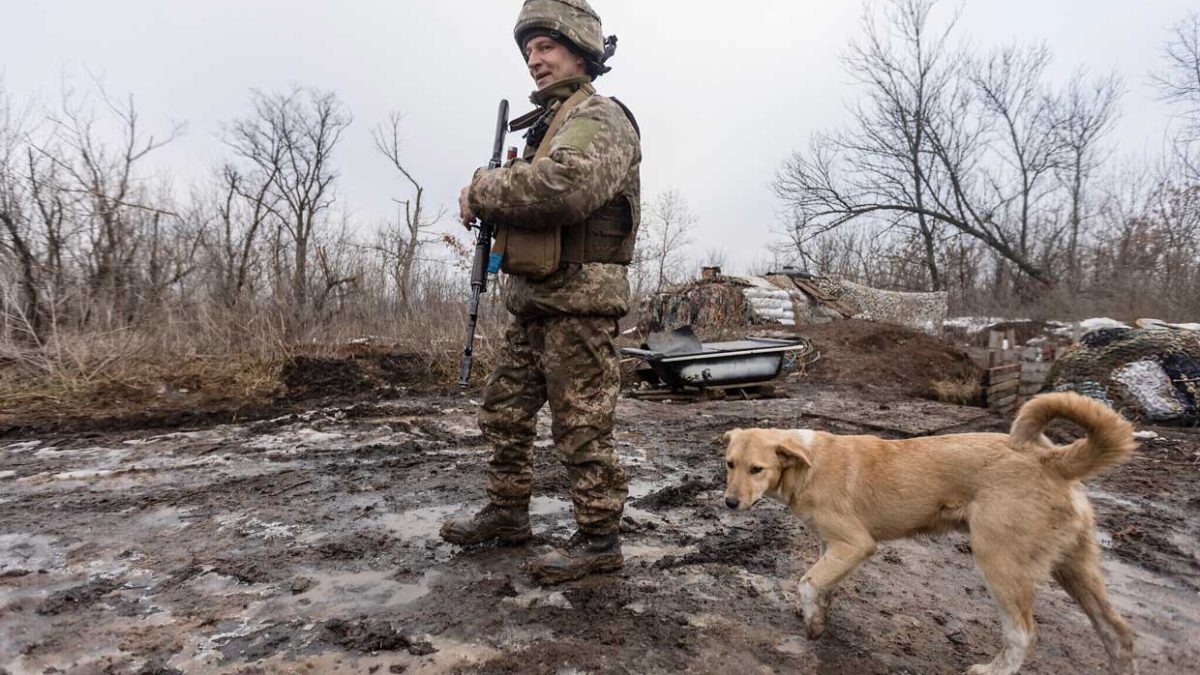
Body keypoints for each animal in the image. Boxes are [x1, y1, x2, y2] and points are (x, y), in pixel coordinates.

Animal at [724, 389, 1137, 672]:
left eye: (757, 469)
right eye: (729, 464)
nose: (729, 503)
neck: (806, 464)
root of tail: (1051, 459)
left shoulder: (856, 544)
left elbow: (808, 582)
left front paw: (811, 626)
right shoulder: (833, 546)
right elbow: (823, 584)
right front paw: (820, 618)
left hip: (1000, 563)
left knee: (1023, 634)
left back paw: (990, 669)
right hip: (1076, 568)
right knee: (1118, 634)